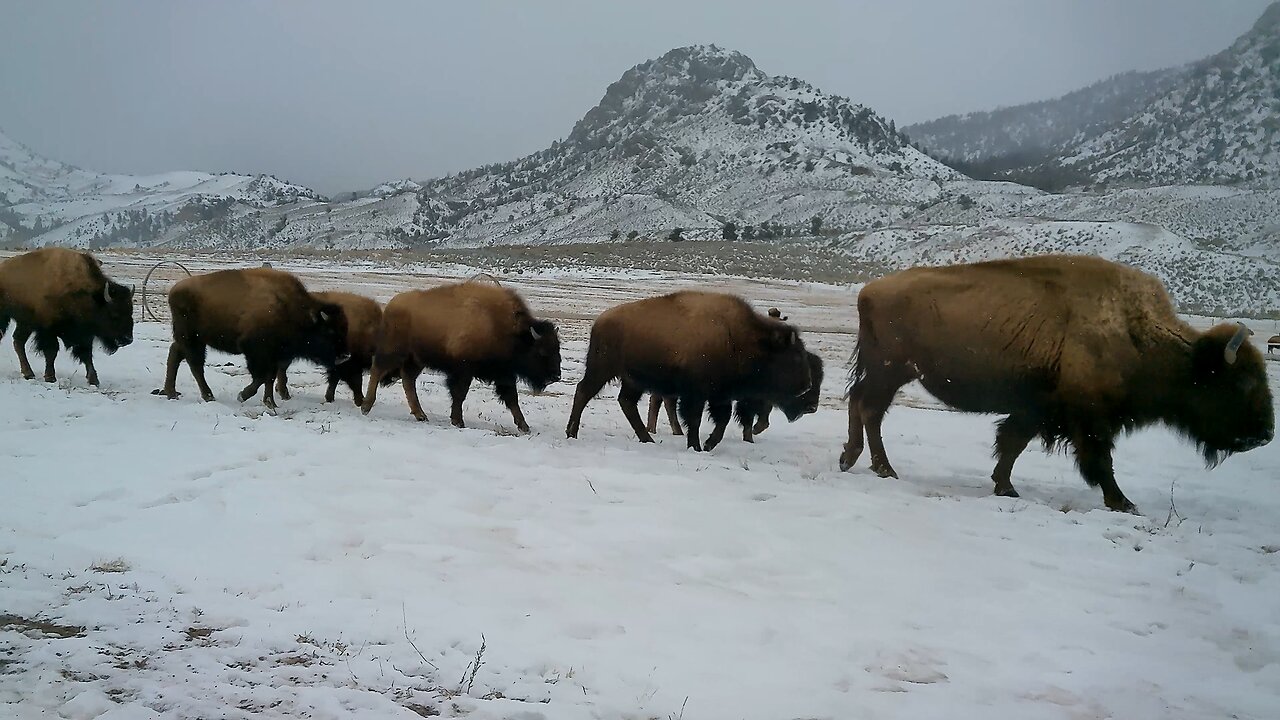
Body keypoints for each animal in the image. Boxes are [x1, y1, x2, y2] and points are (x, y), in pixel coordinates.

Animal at [0, 245, 133, 384]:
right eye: (114, 314)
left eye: (131, 311)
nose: (127, 339)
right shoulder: (48, 330)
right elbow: (51, 351)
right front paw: (50, 377)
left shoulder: (84, 334)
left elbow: (87, 354)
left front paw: (94, 380)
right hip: (7, 317)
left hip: (25, 323)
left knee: (18, 341)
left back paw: (28, 373)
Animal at [152, 266, 348, 407]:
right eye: (330, 331)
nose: (345, 356)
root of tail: (175, 290)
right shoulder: (255, 350)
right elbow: (261, 377)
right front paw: (243, 396)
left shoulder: (275, 355)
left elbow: (269, 378)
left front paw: (271, 404)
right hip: (192, 338)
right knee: (195, 365)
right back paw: (208, 396)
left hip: (190, 339)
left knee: (176, 355)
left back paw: (171, 392)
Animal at [360, 280, 560, 427]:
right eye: (542, 352)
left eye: (557, 348)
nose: (556, 376)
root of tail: (391, 306)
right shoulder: (464, 369)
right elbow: (459, 394)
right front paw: (458, 421)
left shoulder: (503, 373)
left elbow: (512, 398)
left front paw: (524, 426)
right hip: (394, 351)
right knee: (377, 370)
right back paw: (366, 406)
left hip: (416, 360)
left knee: (408, 380)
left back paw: (421, 415)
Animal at [568, 289, 814, 448]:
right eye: (795, 356)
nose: (807, 385)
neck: (740, 338)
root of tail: (600, 320)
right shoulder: (696, 394)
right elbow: (695, 420)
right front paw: (696, 446)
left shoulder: (719, 395)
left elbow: (722, 420)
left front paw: (708, 444)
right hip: (602, 369)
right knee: (584, 391)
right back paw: (572, 432)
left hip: (633, 379)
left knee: (626, 402)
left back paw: (647, 439)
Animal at [839, 252, 1269, 509]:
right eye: (1239, 384)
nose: (1264, 435)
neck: (1134, 332)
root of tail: (869, 290)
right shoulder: (1089, 419)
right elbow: (1099, 461)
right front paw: (1124, 503)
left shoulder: (1036, 410)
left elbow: (1011, 444)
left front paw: (1005, 486)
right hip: (891, 370)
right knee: (869, 407)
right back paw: (880, 467)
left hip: (889, 372)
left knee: (861, 404)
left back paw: (855, 460)